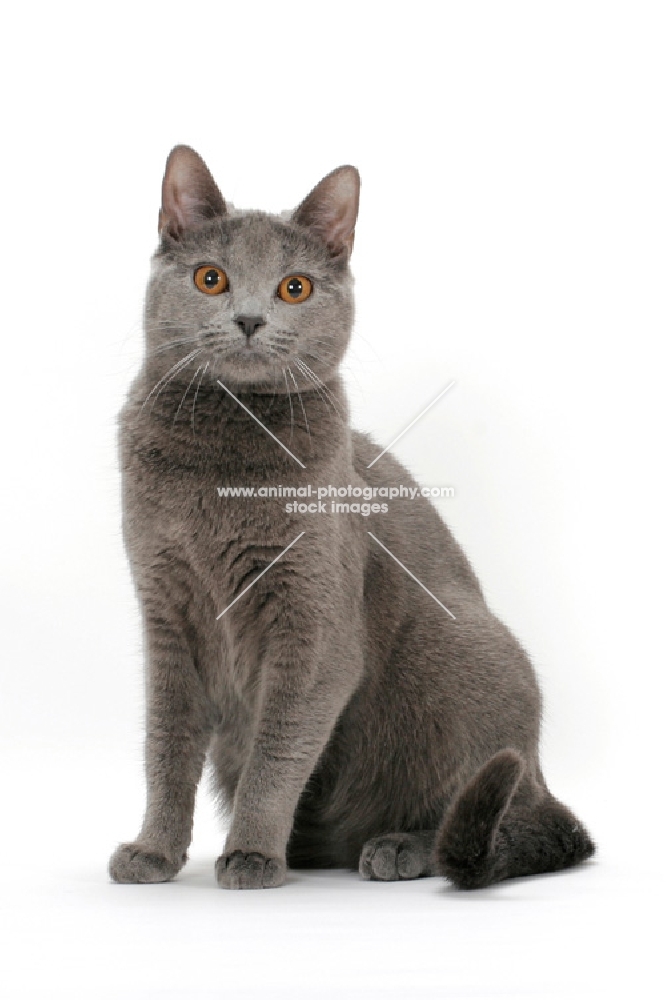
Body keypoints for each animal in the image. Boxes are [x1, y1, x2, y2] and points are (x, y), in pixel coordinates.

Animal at [107, 146, 592, 892]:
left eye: (295, 288)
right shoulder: (166, 612)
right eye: (211, 278)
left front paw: (251, 854)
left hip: (455, 649)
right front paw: (154, 851)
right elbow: (166, 744)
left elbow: (277, 750)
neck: (221, 460)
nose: (250, 319)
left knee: (484, 806)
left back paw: (396, 847)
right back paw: (310, 847)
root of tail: (543, 771)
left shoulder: (314, 629)